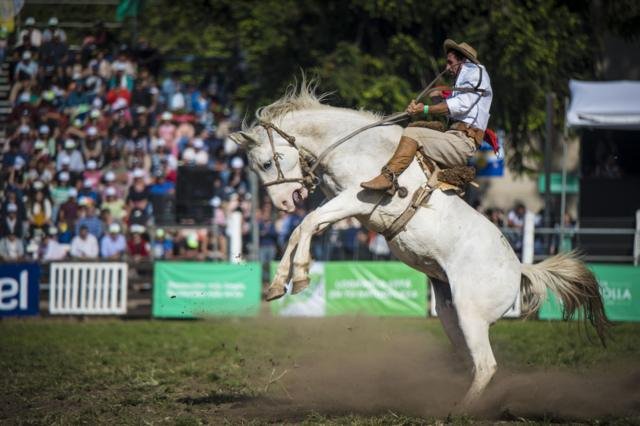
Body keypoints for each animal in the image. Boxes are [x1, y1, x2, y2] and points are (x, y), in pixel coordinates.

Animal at [230, 82, 609, 407]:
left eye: (266, 162)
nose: (281, 204)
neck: (357, 147)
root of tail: (519, 268)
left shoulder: (357, 199)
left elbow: (307, 223)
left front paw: (301, 276)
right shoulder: (340, 203)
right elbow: (302, 229)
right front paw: (278, 284)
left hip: (471, 314)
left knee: (486, 365)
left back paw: (459, 411)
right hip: (451, 315)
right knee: (474, 364)